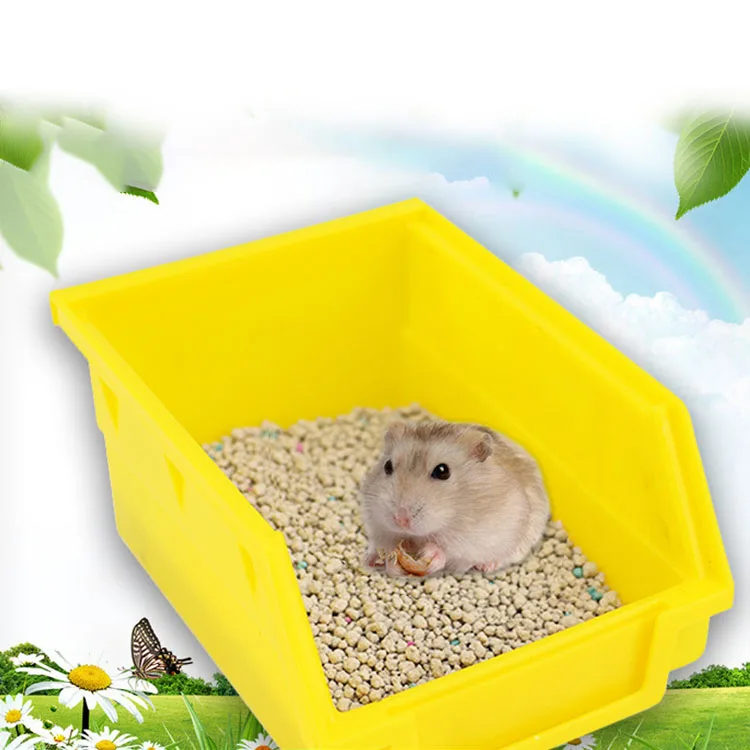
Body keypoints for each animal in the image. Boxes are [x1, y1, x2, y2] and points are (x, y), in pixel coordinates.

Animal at [358, 419, 551, 577]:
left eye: (442, 471)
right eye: (387, 466)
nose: (401, 520)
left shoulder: (476, 537)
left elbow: (450, 550)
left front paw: (430, 554)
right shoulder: (379, 526)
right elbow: (387, 543)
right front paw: (392, 563)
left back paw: (486, 566)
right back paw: (370, 560)